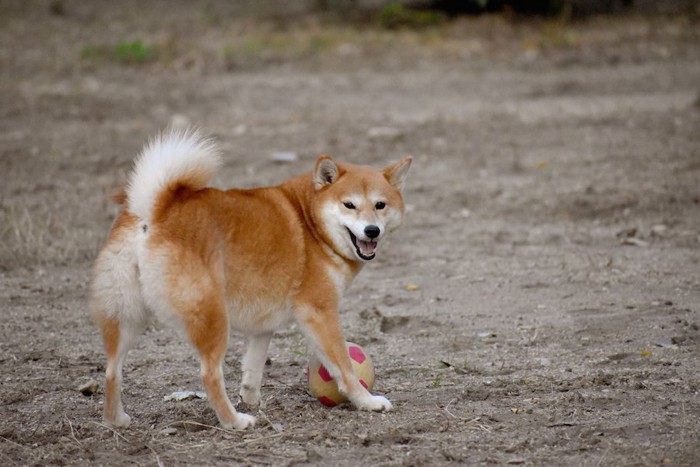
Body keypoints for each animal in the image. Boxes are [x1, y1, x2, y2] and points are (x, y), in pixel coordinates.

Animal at [91, 130, 412, 430]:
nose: (372, 231)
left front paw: (252, 399)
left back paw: (115, 419)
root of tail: (155, 209)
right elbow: (344, 366)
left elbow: (253, 368)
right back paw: (234, 421)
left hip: (126, 316)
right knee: (209, 374)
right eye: (349, 205)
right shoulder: (319, 311)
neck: (309, 222)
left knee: (112, 370)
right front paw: (367, 401)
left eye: (380, 205)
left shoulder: (264, 324)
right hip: (213, 317)